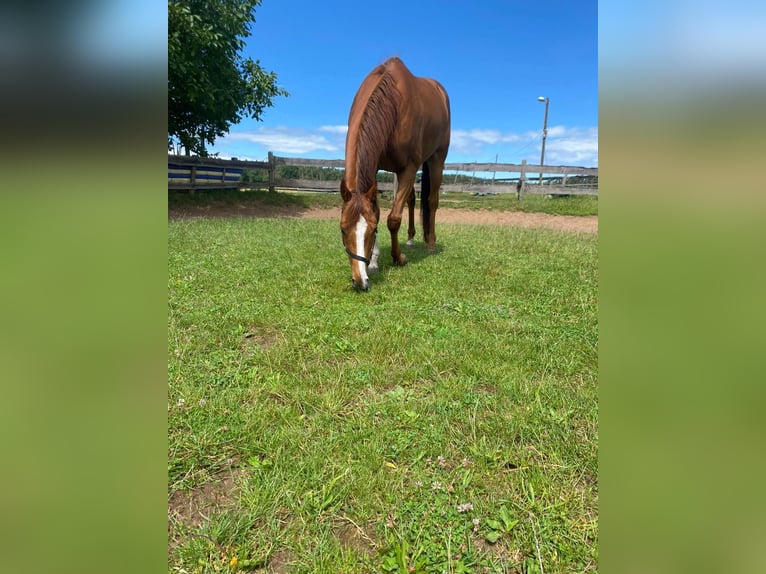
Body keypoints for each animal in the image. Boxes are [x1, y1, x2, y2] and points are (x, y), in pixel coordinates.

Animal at [340, 57, 451, 291]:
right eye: (343, 230)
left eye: (372, 230)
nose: (359, 281)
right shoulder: (375, 168)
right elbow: (378, 211)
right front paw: (373, 262)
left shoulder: (408, 168)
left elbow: (393, 219)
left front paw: (398, 258)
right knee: (411, 199)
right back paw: (410, 239)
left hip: (437, 159)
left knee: (432, 201)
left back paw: (431, 244)